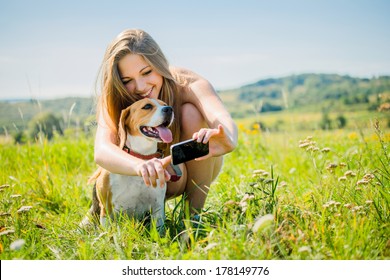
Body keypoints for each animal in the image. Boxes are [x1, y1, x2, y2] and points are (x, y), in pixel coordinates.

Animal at [80, 98, 174, 230]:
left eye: (165, 104)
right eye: (147, 106)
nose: (169, 109)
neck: (140, 157)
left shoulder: (158, 207)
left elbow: (159, 231)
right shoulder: (106, 209)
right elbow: (108, 233)